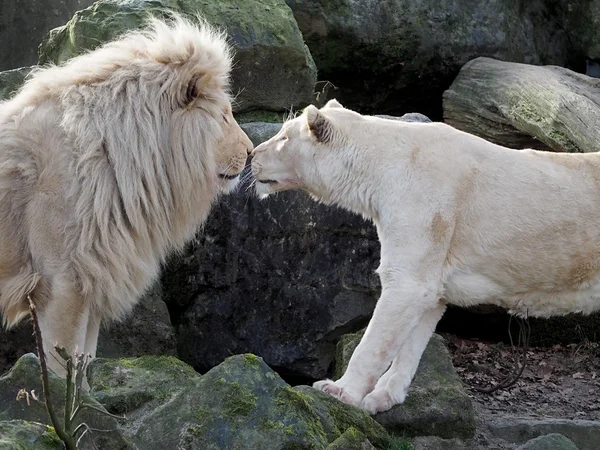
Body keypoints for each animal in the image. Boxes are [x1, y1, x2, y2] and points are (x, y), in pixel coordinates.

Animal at [0, 14, 253, 376]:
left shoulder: (93, 279)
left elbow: (85, 363)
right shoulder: (61, 282)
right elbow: (63, 368)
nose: (250, 152)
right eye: (224, 116)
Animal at [251, 99, 600, 414]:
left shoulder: (426, 214)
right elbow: (421, 319)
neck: (383, 165)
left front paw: (338, 390)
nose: (252, 155)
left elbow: (388, 319)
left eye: (283, 136)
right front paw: (383, 396)